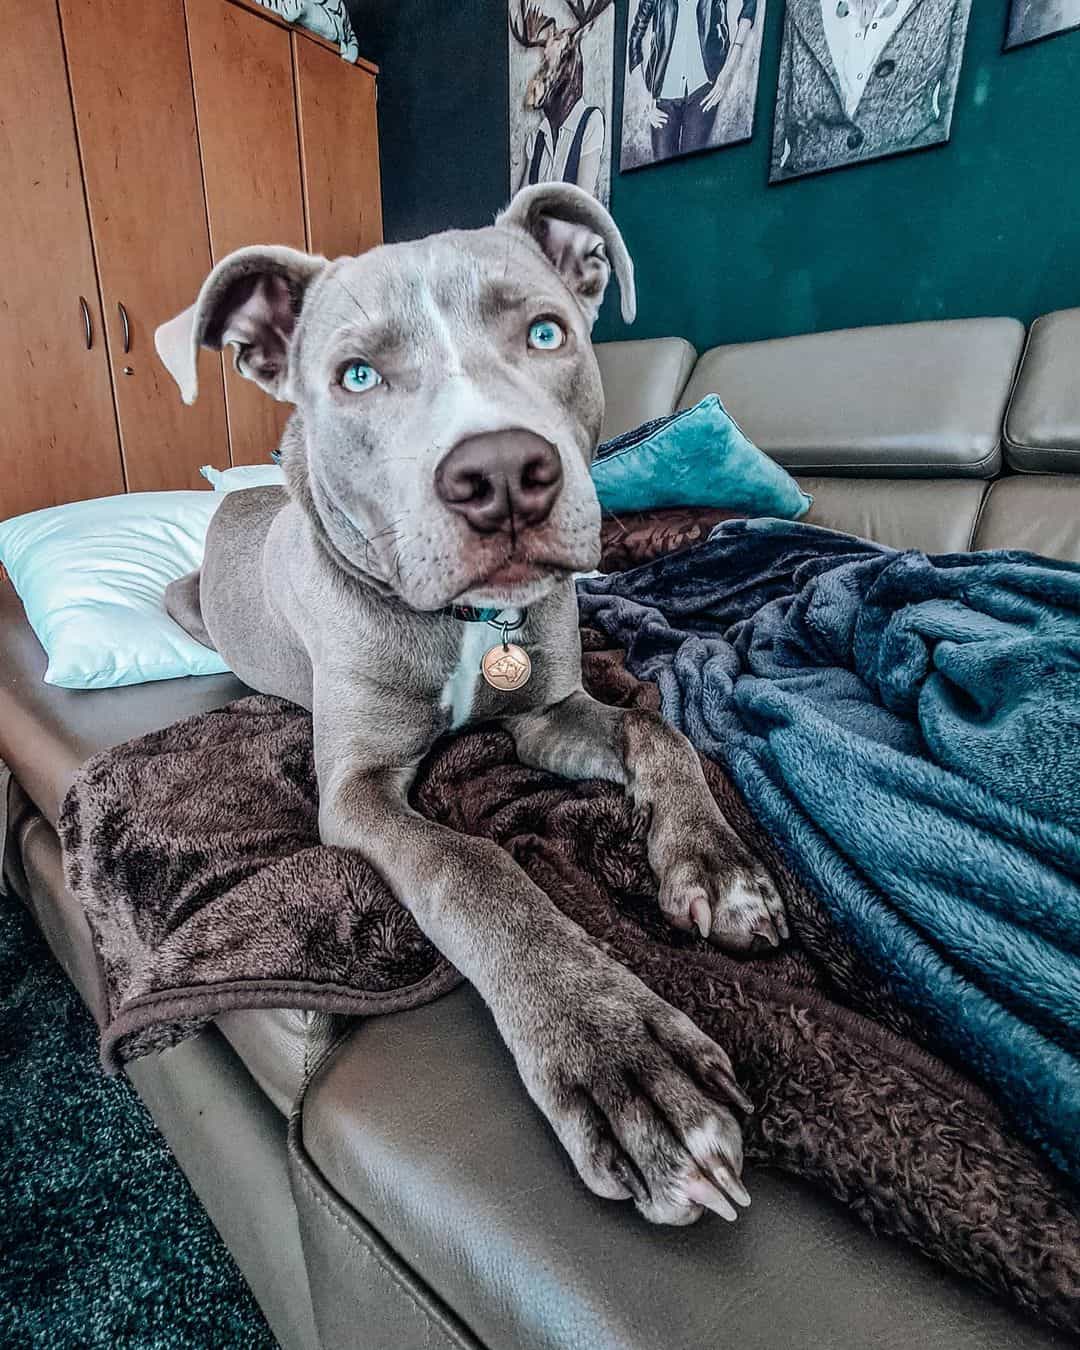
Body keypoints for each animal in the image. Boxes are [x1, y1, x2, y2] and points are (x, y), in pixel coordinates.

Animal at [155, 179, 783, 1225]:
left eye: (545, 332)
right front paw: (612, 1048)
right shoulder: (357, 790)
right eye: (357, 376)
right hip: (184, 602)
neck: (468, 621)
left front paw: (718, 866)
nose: (499, 474)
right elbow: (470, 864)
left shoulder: (548, 714)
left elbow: (655, 726)